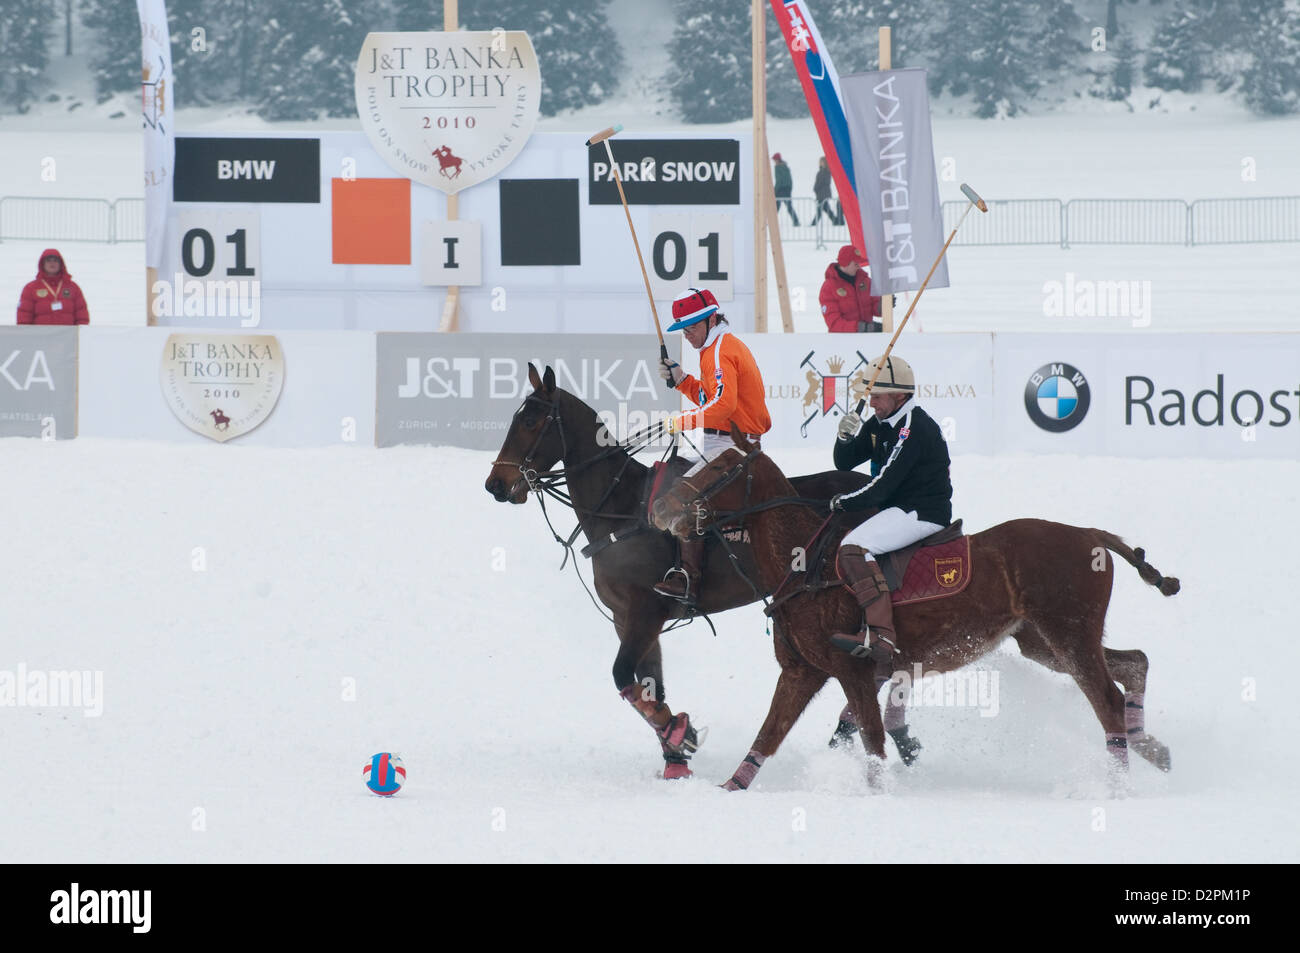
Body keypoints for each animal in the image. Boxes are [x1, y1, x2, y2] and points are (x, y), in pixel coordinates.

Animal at [488, 361, 883, 774]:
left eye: (530, 421)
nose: (495, 484)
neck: (619, 506)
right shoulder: (625, 616)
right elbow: (649, 684)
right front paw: (675, 757)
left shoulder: (646, 609)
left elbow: (623, 675)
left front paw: (680, 733)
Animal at [650, 429, 1180, 790]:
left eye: (721, 470)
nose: (661, 510)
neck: (803, 560)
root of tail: (1091, 534)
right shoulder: (802, 671)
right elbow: (767, 736)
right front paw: (728, 789)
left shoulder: (853, 669)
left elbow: (871, 739)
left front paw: (879, 792)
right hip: (1041, 640)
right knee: (1134, 663)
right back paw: (1152, 749)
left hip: (1068, 632)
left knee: (1107, 701)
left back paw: (1115, 787)